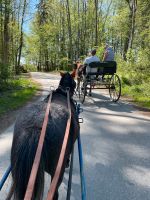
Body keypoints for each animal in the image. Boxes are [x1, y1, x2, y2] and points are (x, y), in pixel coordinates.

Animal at [7, 71, 79, 199]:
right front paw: (67, 163)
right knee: (55, 192)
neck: (62, 93)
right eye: (75, 81)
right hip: (56, 171)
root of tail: (36, 126)